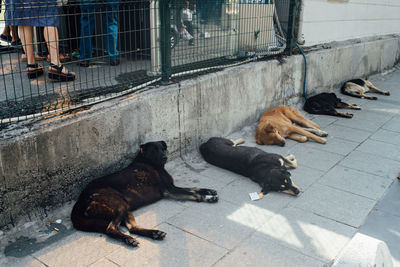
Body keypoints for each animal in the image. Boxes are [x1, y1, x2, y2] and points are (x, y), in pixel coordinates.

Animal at [70, 141, 217, 248]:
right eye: (154, 150)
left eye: (162, 149)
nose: (165, 157)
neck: (147, 160)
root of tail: (80, 200)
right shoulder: (170, 190)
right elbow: (192, 192)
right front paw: (207, 197)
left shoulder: (172, 188)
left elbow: (194, 187)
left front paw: (209, 191)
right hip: (119, 204)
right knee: (111, 228)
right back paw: (129, 239)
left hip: (125, 207)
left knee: (133, 228)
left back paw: (153, 234)